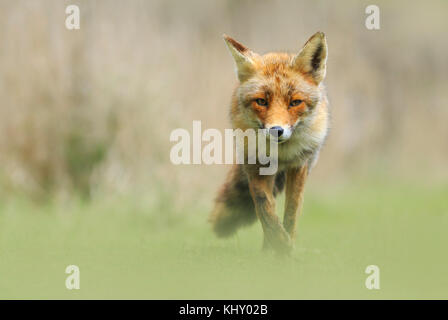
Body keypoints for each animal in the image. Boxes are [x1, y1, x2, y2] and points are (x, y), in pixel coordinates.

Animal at [210, 31, 328, 252]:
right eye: (261, 101)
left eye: (295, 102)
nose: (276, 131)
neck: (280, 154)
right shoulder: (254, 164)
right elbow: (265, 208)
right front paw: (279, 245)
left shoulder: (299, 165)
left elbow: (291, 210)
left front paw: (285, 246)